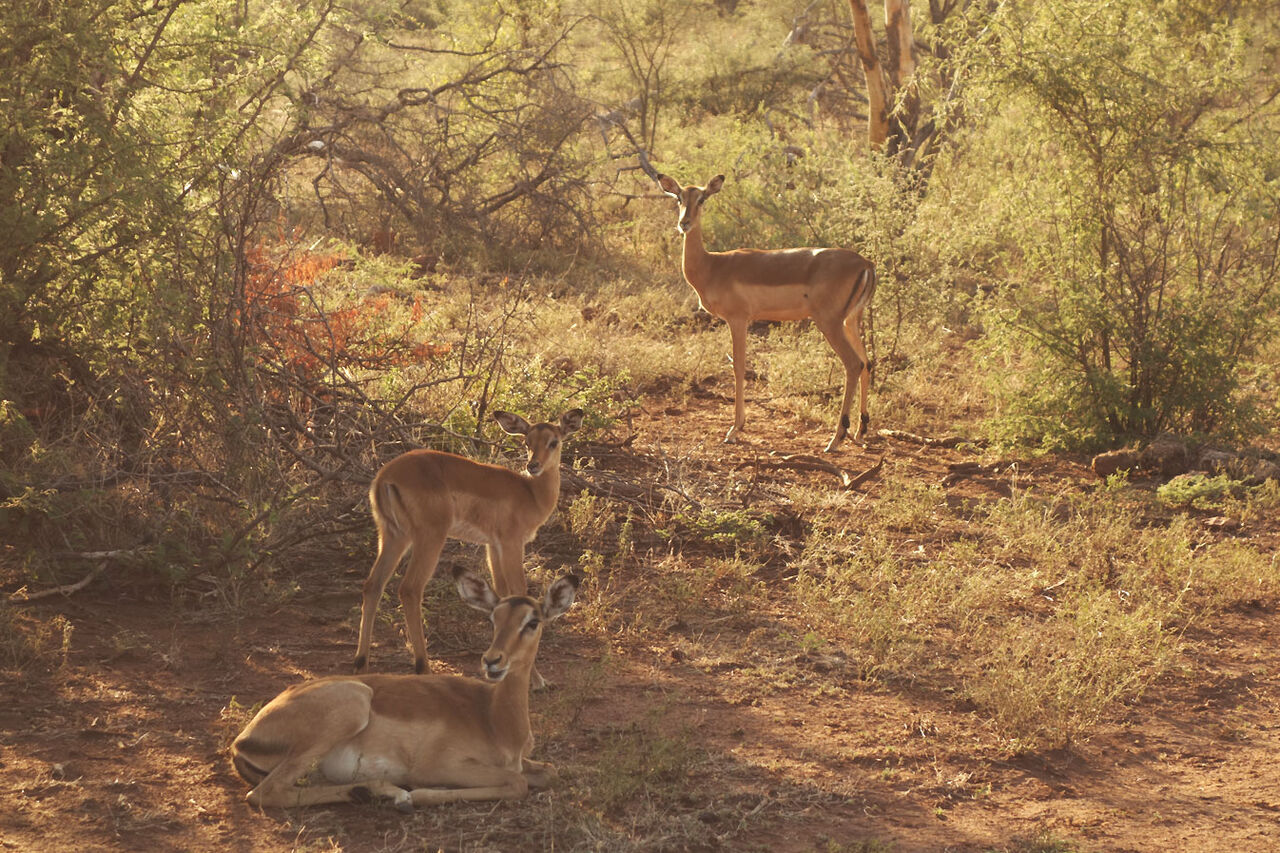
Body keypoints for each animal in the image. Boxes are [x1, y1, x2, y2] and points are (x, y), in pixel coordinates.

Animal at [232, 567, 579, 810]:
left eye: (533, 621)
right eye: (493, 618)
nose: (492, 661)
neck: (495, 719)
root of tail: (242, 740)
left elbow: (548, 771)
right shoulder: (440, 765)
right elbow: (516, 782)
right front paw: (422, 793)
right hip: (351, 705)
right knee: (263, 794)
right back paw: (392, 793)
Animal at [354, 408, 584, 683]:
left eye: (553, 441)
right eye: (527, 441)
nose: (533, 465)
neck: (531, 494)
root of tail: (385, 477)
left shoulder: (492, 546)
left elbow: (502, 593)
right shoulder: (511, 543)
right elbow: (520, 592)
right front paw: (536, 679)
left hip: (393, 536)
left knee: (372, 585)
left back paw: (361, 664)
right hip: (429, 537)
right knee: (409, 589)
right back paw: (423, 667)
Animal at [657, 173, 877, 452]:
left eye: (702, 198)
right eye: (679, 198)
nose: (684, 223)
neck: (712, 266)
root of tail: (866, 264)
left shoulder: (738, 320)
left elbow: (738, 367)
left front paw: (734, 429)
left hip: (830, 322)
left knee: (853, 363)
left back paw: (835, 439)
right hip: (850, 321)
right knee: (867, 362)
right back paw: (861, 432)